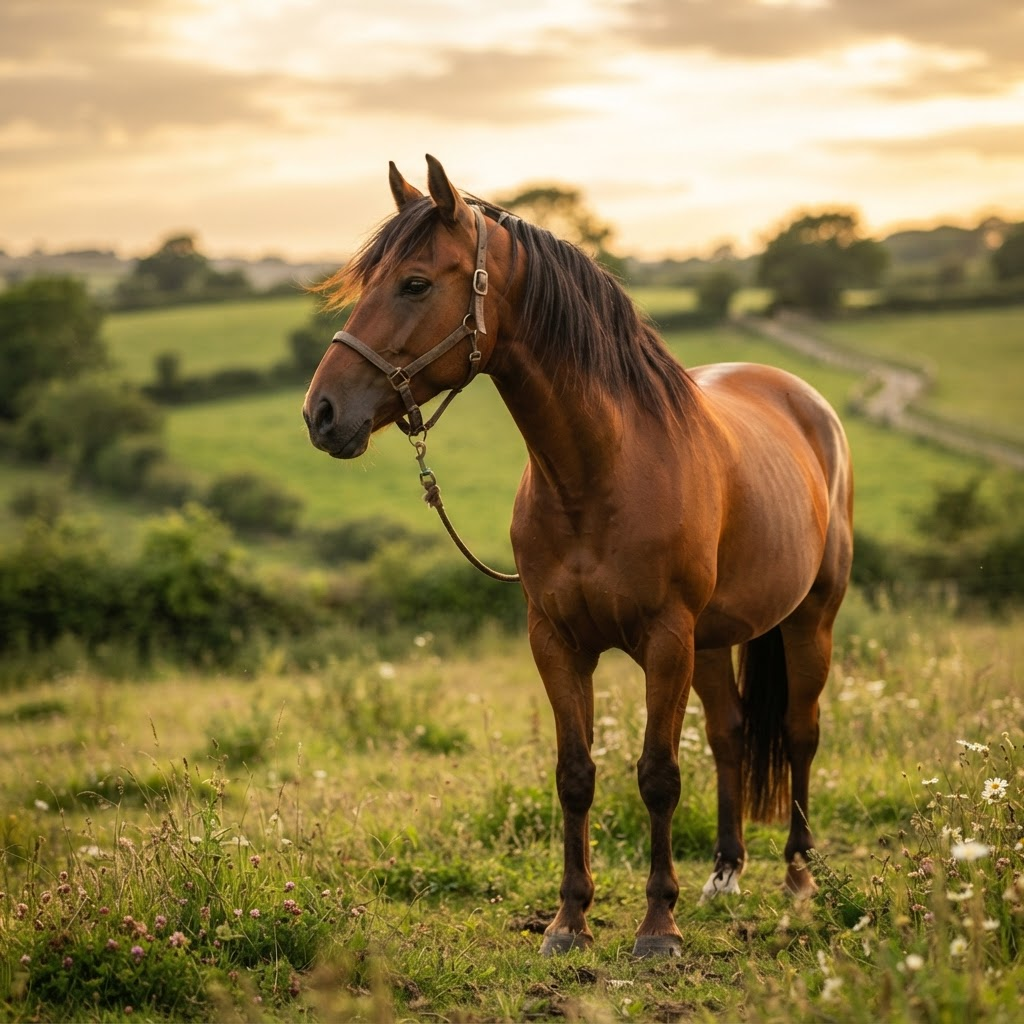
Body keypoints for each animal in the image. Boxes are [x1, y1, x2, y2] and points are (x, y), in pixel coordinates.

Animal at [302, 155, 854, 958]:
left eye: (414, 283)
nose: (321, 413)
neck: (600, 471)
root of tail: (804, 399)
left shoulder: (664, 640)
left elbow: (658, 775)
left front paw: (658, 928)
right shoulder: (558, 641)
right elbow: (575, 775)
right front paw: (568, 921)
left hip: (807, 620)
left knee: (799, 733)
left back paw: (799, 878)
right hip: (714, 641)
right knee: (729, 734)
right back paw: (724, 874)